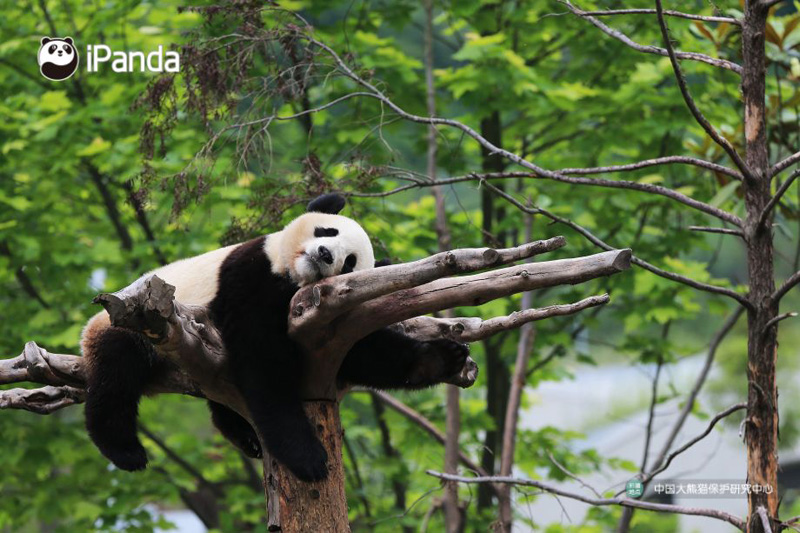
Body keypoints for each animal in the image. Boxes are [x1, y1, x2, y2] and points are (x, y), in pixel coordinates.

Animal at [81, 193, 468, 480]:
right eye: (328, 232)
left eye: (349, 262)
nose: (324, 254)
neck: (288, 275)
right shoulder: (249, 275)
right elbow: (263, 364)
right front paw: (308, 458)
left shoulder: (327, 319)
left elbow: (364, 354)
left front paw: (443, 359)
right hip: (131, 322)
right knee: (117, 374)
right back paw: (126, 451)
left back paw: (244, 435)